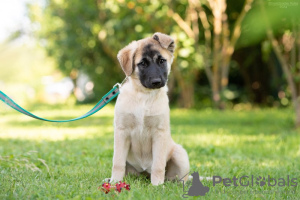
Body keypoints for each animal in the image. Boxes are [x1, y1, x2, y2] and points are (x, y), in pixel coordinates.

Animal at [109, 32, 190, 185]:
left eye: (162, 61)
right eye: (142, 64)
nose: (156, 82)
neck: (144, 97)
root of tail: (144, 173)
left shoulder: (159, 133)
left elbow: (158, 165)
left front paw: (157, 185)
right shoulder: (121, 131)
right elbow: (117, 163)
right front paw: (114, 183)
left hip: (180, 154)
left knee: (178, 177)